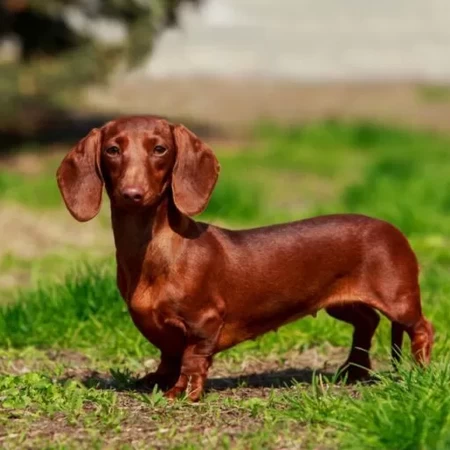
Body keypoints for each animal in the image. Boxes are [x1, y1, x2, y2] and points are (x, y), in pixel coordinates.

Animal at [57, 116, 433, 401]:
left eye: (160, 149)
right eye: (113, 149)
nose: (132, 194)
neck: (153, 251)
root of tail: (394, 229)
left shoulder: (204, 322)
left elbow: (192, 359)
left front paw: (183, 392)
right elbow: (168, 355)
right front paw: (157, 380)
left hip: (399, 299)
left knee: (421, 328)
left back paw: (421, 372)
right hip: (340, 303)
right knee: (366, 322)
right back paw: (353, 372)